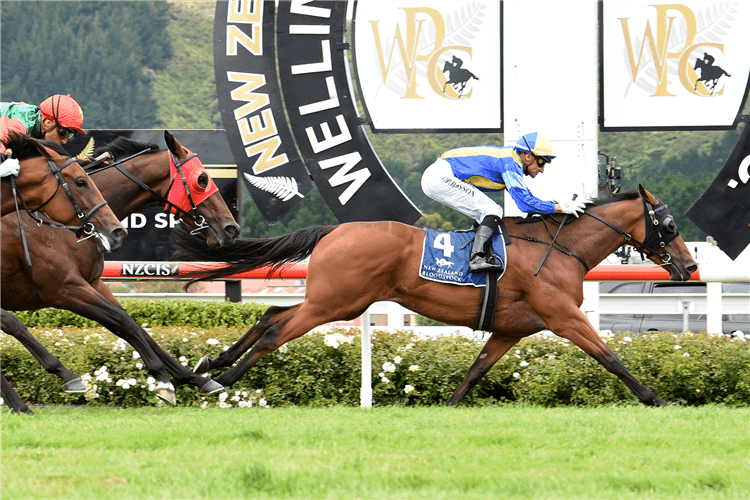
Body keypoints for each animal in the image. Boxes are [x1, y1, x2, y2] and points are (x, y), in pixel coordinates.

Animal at [0, 130, 241, 406]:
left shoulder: (93, 282)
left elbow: (131, 324)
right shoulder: (63, 288)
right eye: (202, 179)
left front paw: (196, 379)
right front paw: (163, 380)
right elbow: (123, 322)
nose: (232, 228)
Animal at [175, 184, 700, 406]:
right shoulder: (563, 316)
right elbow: (609, 357)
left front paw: (448, 406)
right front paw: (654, 398)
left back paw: (214, 363)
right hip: (335, 303)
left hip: (334, 300)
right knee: (276, 332)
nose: (691, 266)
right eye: (670, 225)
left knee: (269, 313)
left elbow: (476, 370)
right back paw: (224, 378)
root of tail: (334, 231)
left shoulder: (510, 329)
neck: (558, 249)